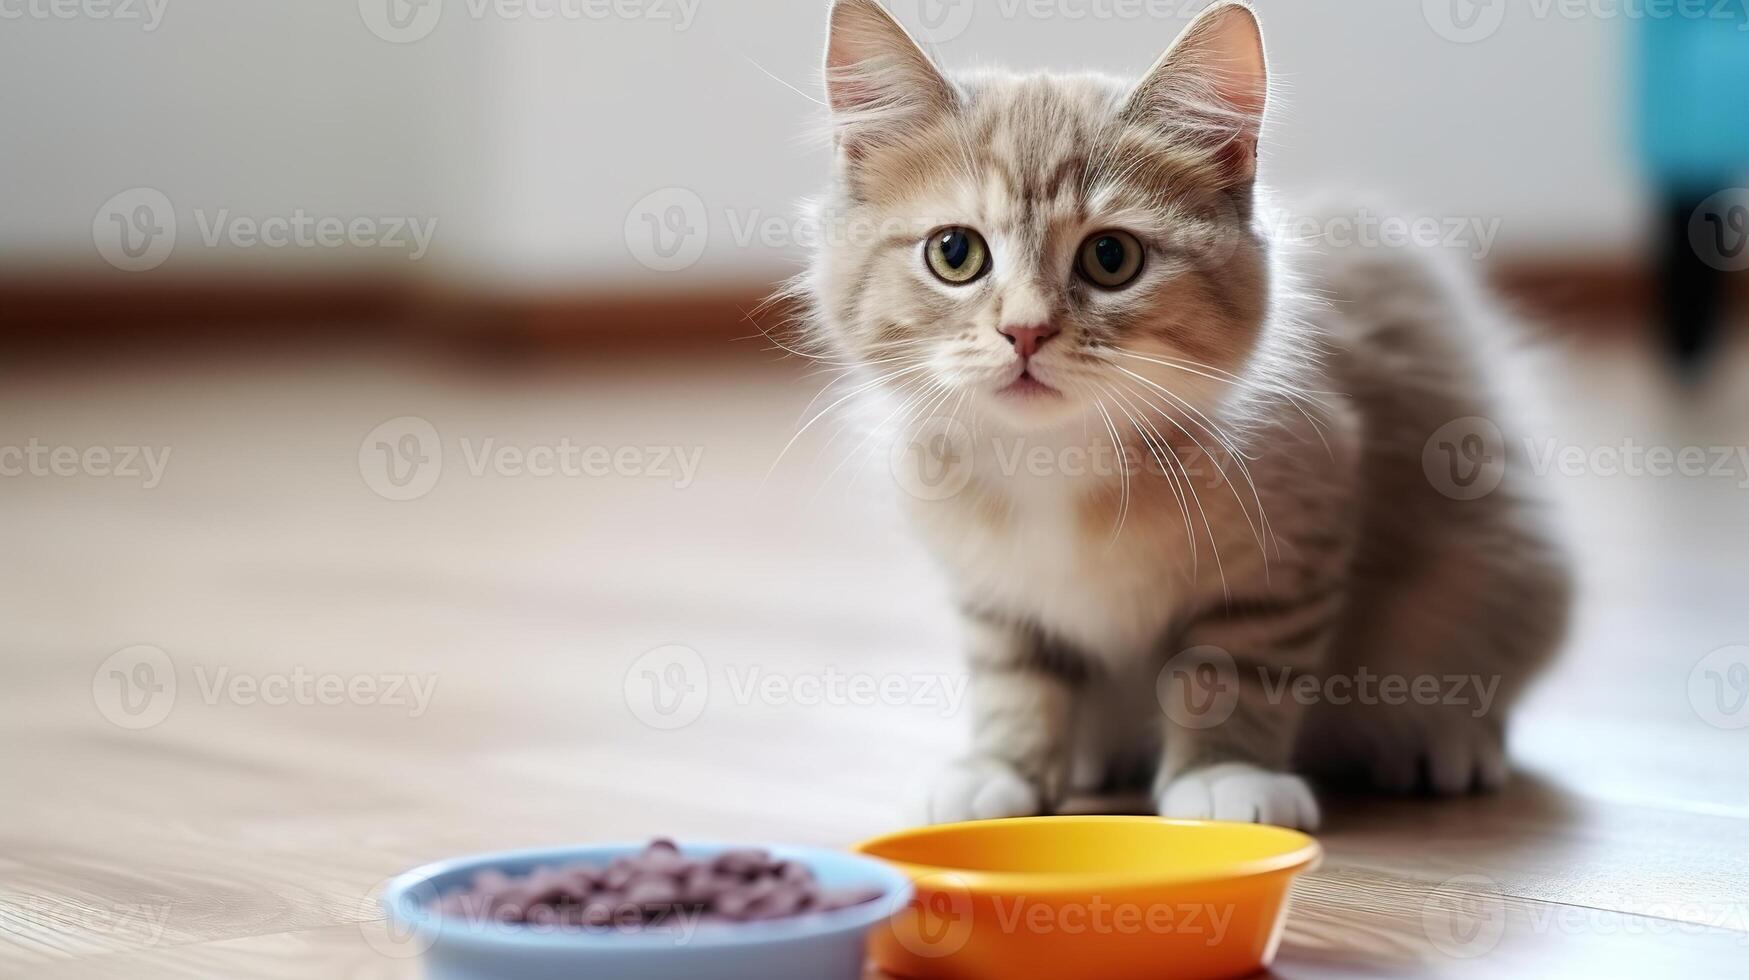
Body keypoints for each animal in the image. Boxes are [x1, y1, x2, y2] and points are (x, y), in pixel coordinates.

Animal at [801, 0, 1581, 829]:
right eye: (955, 253)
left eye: (1110, 258)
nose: (1025, 331)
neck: (1056, 460)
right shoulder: (995, 592)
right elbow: (1015, 670)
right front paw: (1000, 766)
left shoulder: (1286, 553)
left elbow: (1229, 669)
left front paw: (1223, 774)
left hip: (1500, 572)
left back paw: (1441, 742)